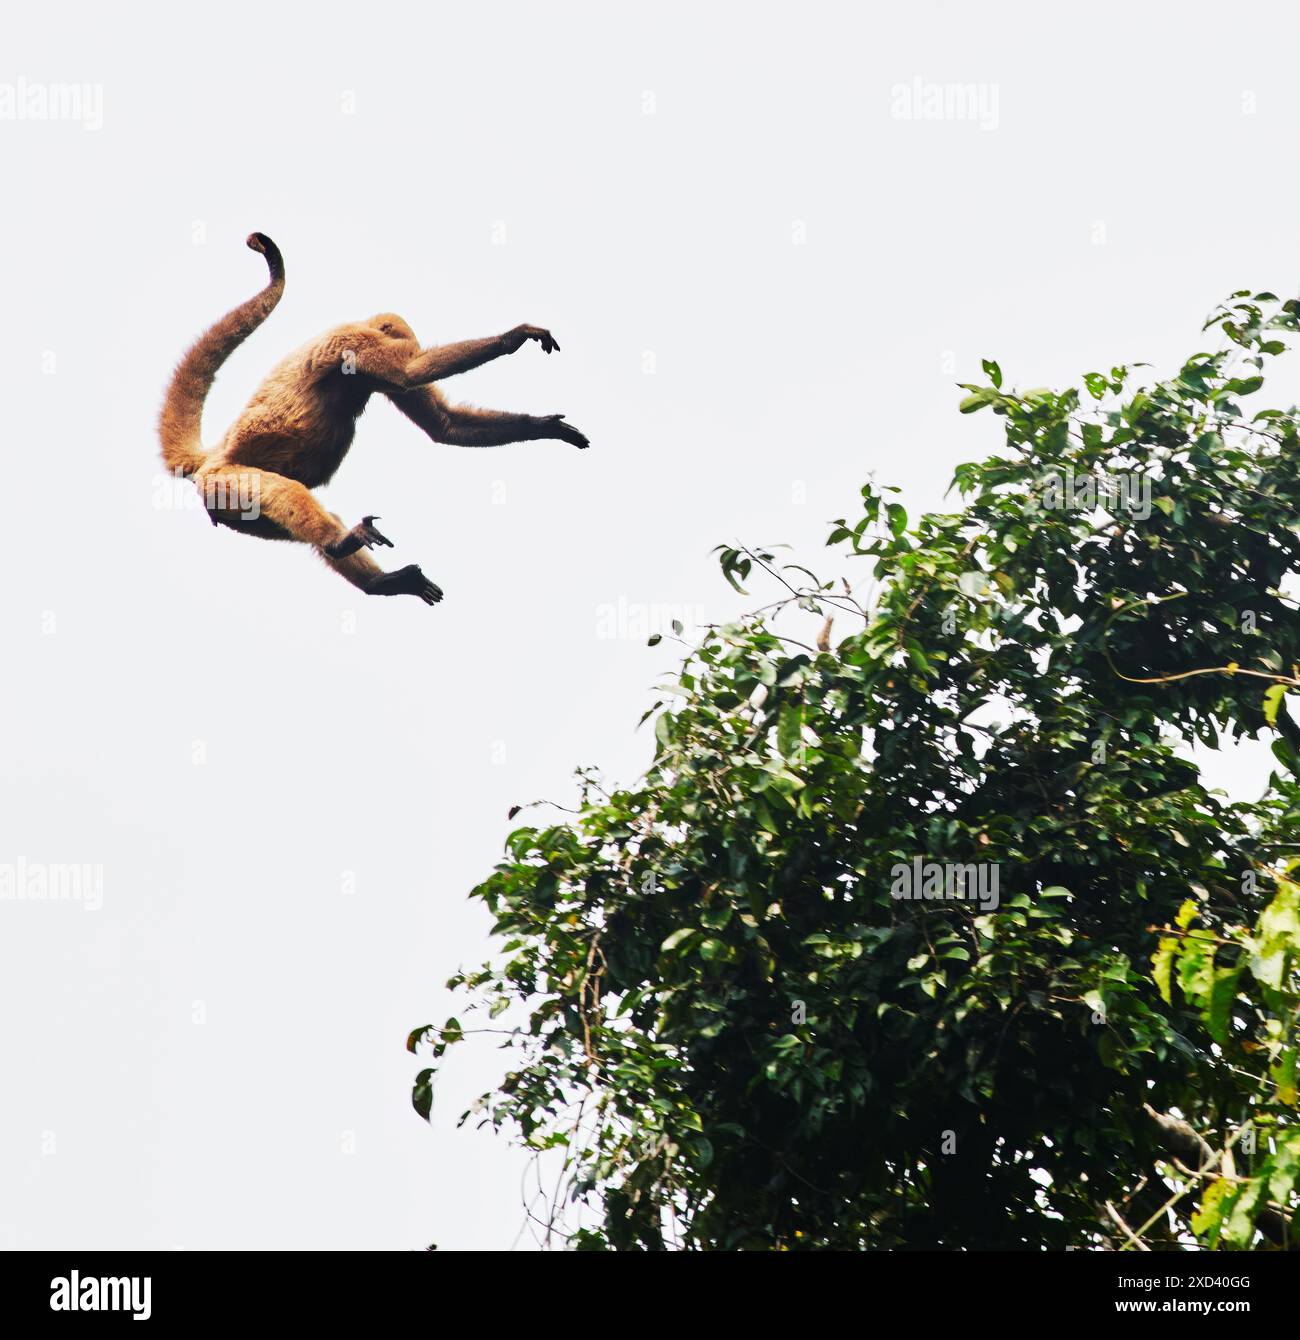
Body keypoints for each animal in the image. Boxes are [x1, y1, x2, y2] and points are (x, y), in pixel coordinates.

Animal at [156, 233, 587, 605]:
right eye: (404, 340)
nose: (408, 343)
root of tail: (211, 459)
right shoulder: (354, 344)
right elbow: (410, 373)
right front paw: (512, 337)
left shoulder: (368, 369)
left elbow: (445, 425)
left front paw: (543, 426)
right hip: (225, 482)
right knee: (285, 492)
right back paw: (341, 543)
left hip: (235, 510)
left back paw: (381, 582)